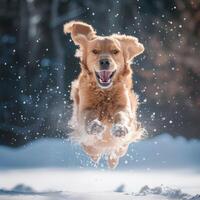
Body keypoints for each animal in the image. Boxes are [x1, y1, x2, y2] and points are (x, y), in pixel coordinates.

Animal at [65, 21, 145, 168]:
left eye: (115, 51)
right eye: (95, 51)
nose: (104, 62)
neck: (105, 93)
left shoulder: (123, 107)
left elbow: (122, 116)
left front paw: (120, 128)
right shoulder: (85, 109)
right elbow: (89, 117)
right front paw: (95, 126)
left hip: (122, 147)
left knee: (115, 152)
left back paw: (112, 162)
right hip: (88, 144)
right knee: (93, 151)